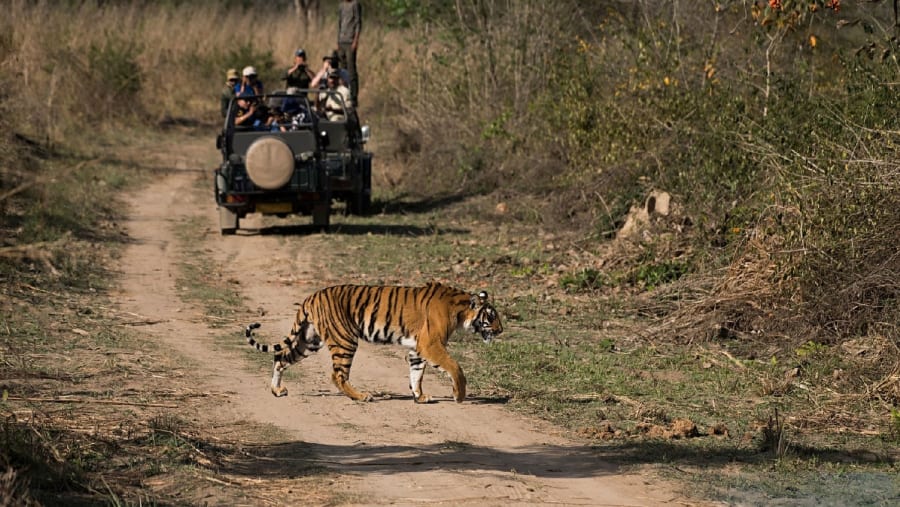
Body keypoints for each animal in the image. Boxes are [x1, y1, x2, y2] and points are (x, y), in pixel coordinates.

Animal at [245, 282, 502, 403]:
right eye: (491, 316)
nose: (501, 330)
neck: (459, 310)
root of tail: (311, 296)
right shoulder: (431, 344)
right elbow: (454, 367)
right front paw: (459, 395)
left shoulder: (417, 348)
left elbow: (416, 373)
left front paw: (419, 397)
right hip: (345, 340)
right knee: (337, 375)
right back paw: (362, 396)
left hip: (309, 341)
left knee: (280, 358)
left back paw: (277, 390)